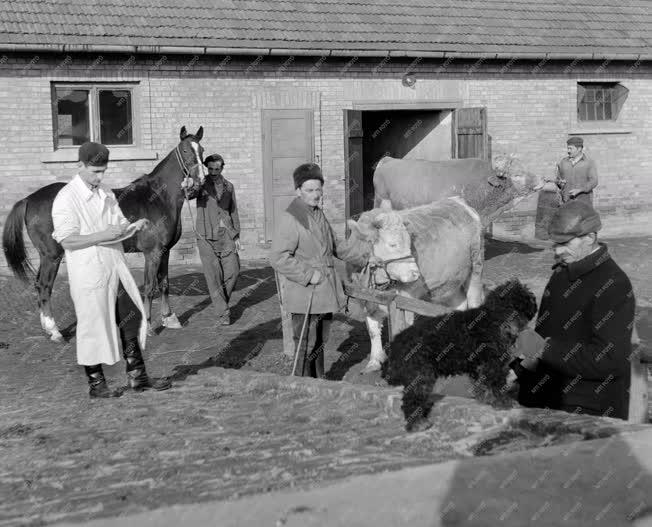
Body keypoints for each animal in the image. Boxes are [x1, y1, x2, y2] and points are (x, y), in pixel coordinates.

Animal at [2, 128, 206, 342]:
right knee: (44, 285)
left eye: (202, 150)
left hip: (46, 255)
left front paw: (170, 318)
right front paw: (149, 327)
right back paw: (55, 331)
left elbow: (164, 283)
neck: (158, 198)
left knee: (38, 284)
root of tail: (28, 199)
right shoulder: (153, 253)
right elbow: (150, 288)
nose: (200, 180)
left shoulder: (165, 251)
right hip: (52, 255)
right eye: (185, 150)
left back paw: (47, 328)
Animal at [382, 280, 536, 434]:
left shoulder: (480, 365)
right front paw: (502, 402)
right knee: (411, 400)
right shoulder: (493, 363)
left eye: (521, 306)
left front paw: (488, 399)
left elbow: (482, 385)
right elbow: (496, 385)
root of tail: (397, 340)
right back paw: (417, 424)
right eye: (512, 305)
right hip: (421, 375)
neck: (494, 319)